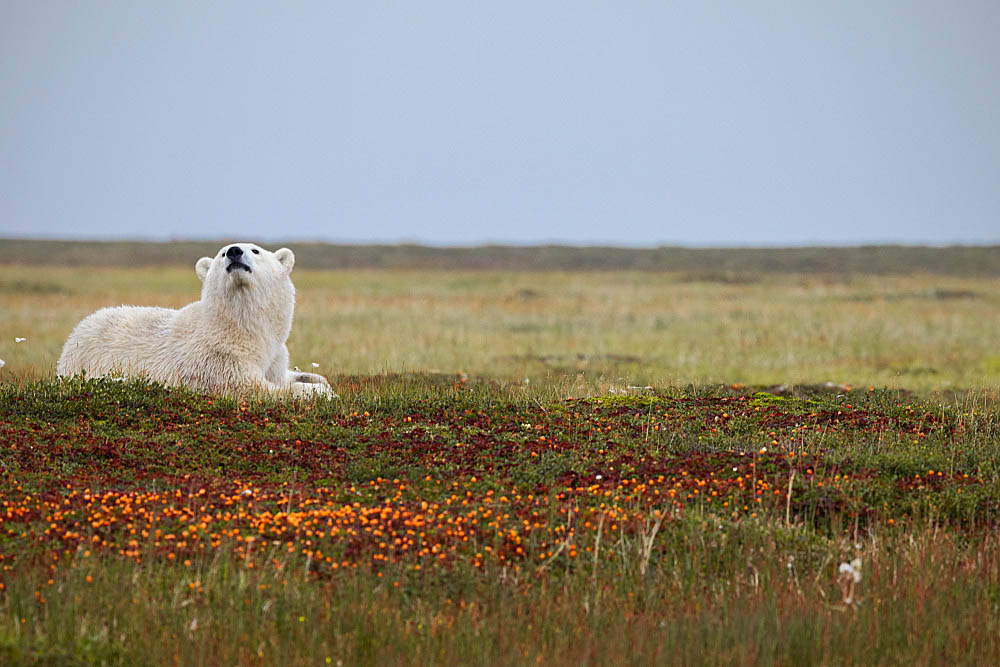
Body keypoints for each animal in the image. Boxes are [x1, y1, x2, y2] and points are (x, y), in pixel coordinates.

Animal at [56, 245, 332, 402]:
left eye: (256, 250)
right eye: (221, 253)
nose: (234, 251)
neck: (241, 327)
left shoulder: (274, 354)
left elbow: (282, 375)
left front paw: (317, 380)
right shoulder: (218, 358)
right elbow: (251, 387)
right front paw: (319, 393)